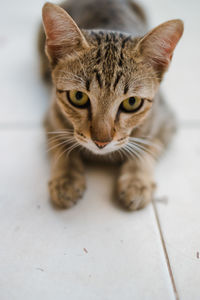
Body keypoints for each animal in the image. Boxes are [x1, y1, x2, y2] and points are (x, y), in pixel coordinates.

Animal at [38, 0, 184, 210]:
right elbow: (60, 143)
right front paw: (66, 178)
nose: (101, 142)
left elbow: (148, 145)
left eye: (132, 102)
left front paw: (136, 181)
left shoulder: (166, 120)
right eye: (78, 96)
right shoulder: (51, 117)